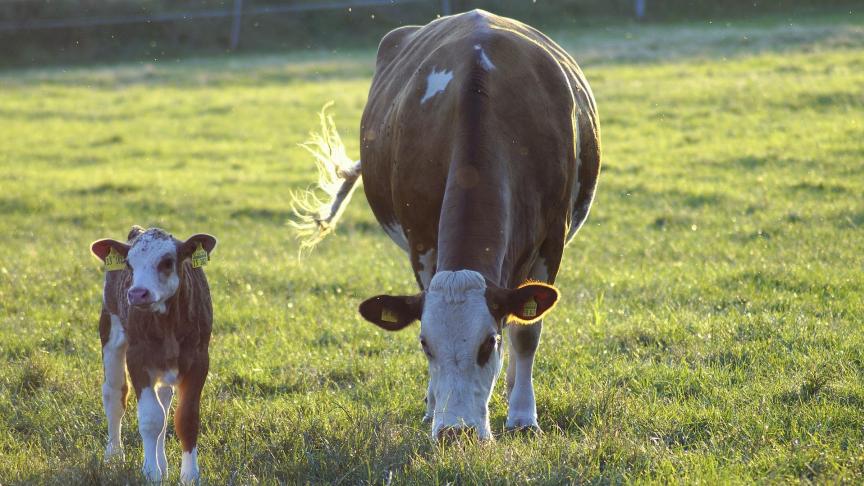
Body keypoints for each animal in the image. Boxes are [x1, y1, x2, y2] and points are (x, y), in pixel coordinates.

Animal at [90, 226, 217, 482]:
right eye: (129, 264)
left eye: (167, 262)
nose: (138, 293)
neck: (168, 324)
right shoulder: (138, 358)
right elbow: (150, 418)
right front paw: (151, 473)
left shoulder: (200, 359)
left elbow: (186, 417)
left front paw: (190, 476)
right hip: (109, 327)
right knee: (114, 393)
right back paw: (114, 456)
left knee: (164, 401)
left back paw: (163, 463)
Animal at [292, 9, 600, 440]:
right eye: (425, 344)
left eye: (487, 344)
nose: (457, 432)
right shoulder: (421, 241)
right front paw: (431, 407)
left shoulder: (551, 241)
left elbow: (525, 333)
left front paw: (523, 415)